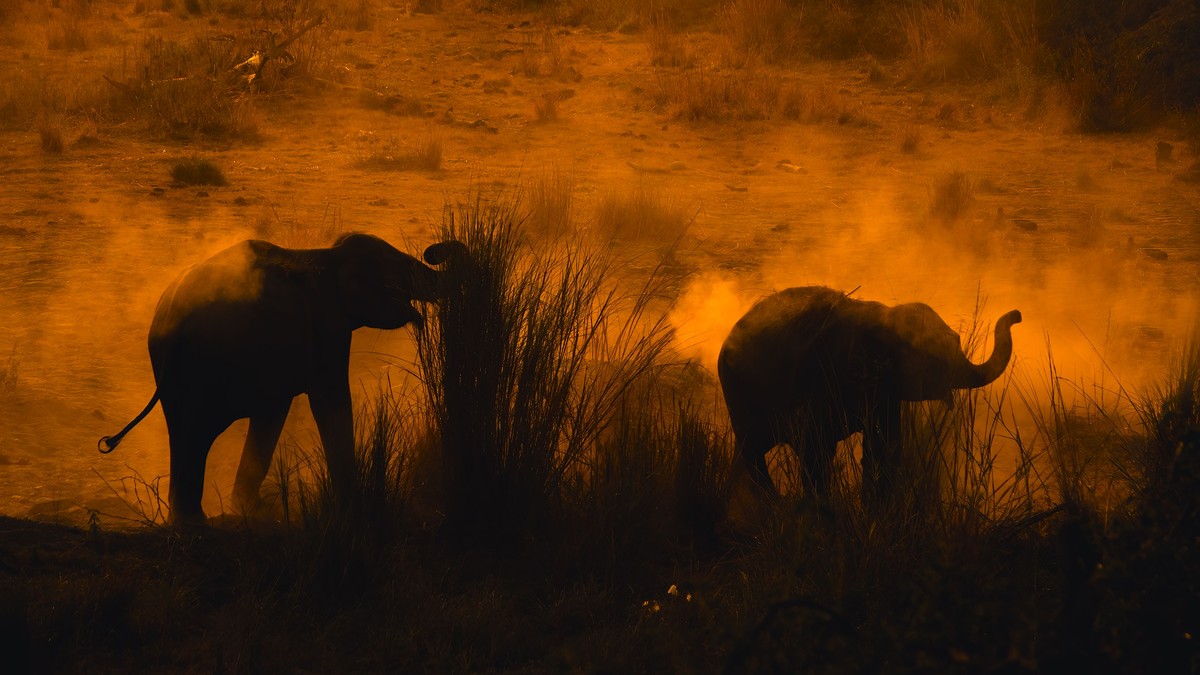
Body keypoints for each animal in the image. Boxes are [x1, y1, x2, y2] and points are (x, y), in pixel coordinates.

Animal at [99, 233, 470, 525]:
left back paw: (186, 520)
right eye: (400, 271)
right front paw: (350, 508)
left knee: (183, 432)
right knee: (197, 432)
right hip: (203, 367)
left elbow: (273, 413)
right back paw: (193, 523)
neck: (327, 255)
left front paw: (253, 510)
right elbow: (329, 400)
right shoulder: (327, 328)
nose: (433, 250)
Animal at [717, 286, 1021, 504]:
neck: (881, 318)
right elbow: (815, 447)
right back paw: (775, 504)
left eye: (957, 340)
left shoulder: (884, 393)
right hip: (738, 391)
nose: (1017, 315)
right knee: (754, 451)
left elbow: (884, 445)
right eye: (934, 358)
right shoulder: (820, 375)